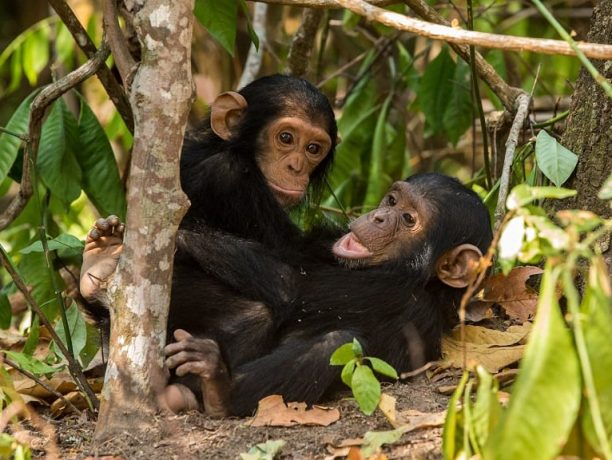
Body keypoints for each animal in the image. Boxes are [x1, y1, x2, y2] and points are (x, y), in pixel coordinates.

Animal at [163, 173, 492, 416]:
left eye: (409, 219)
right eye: (392, 200)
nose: (380, 217)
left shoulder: (395, 296)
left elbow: (290, 284)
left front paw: (180, 235)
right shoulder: (322, 242)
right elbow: (289, 249)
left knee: (334, 341)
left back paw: (217, 388)